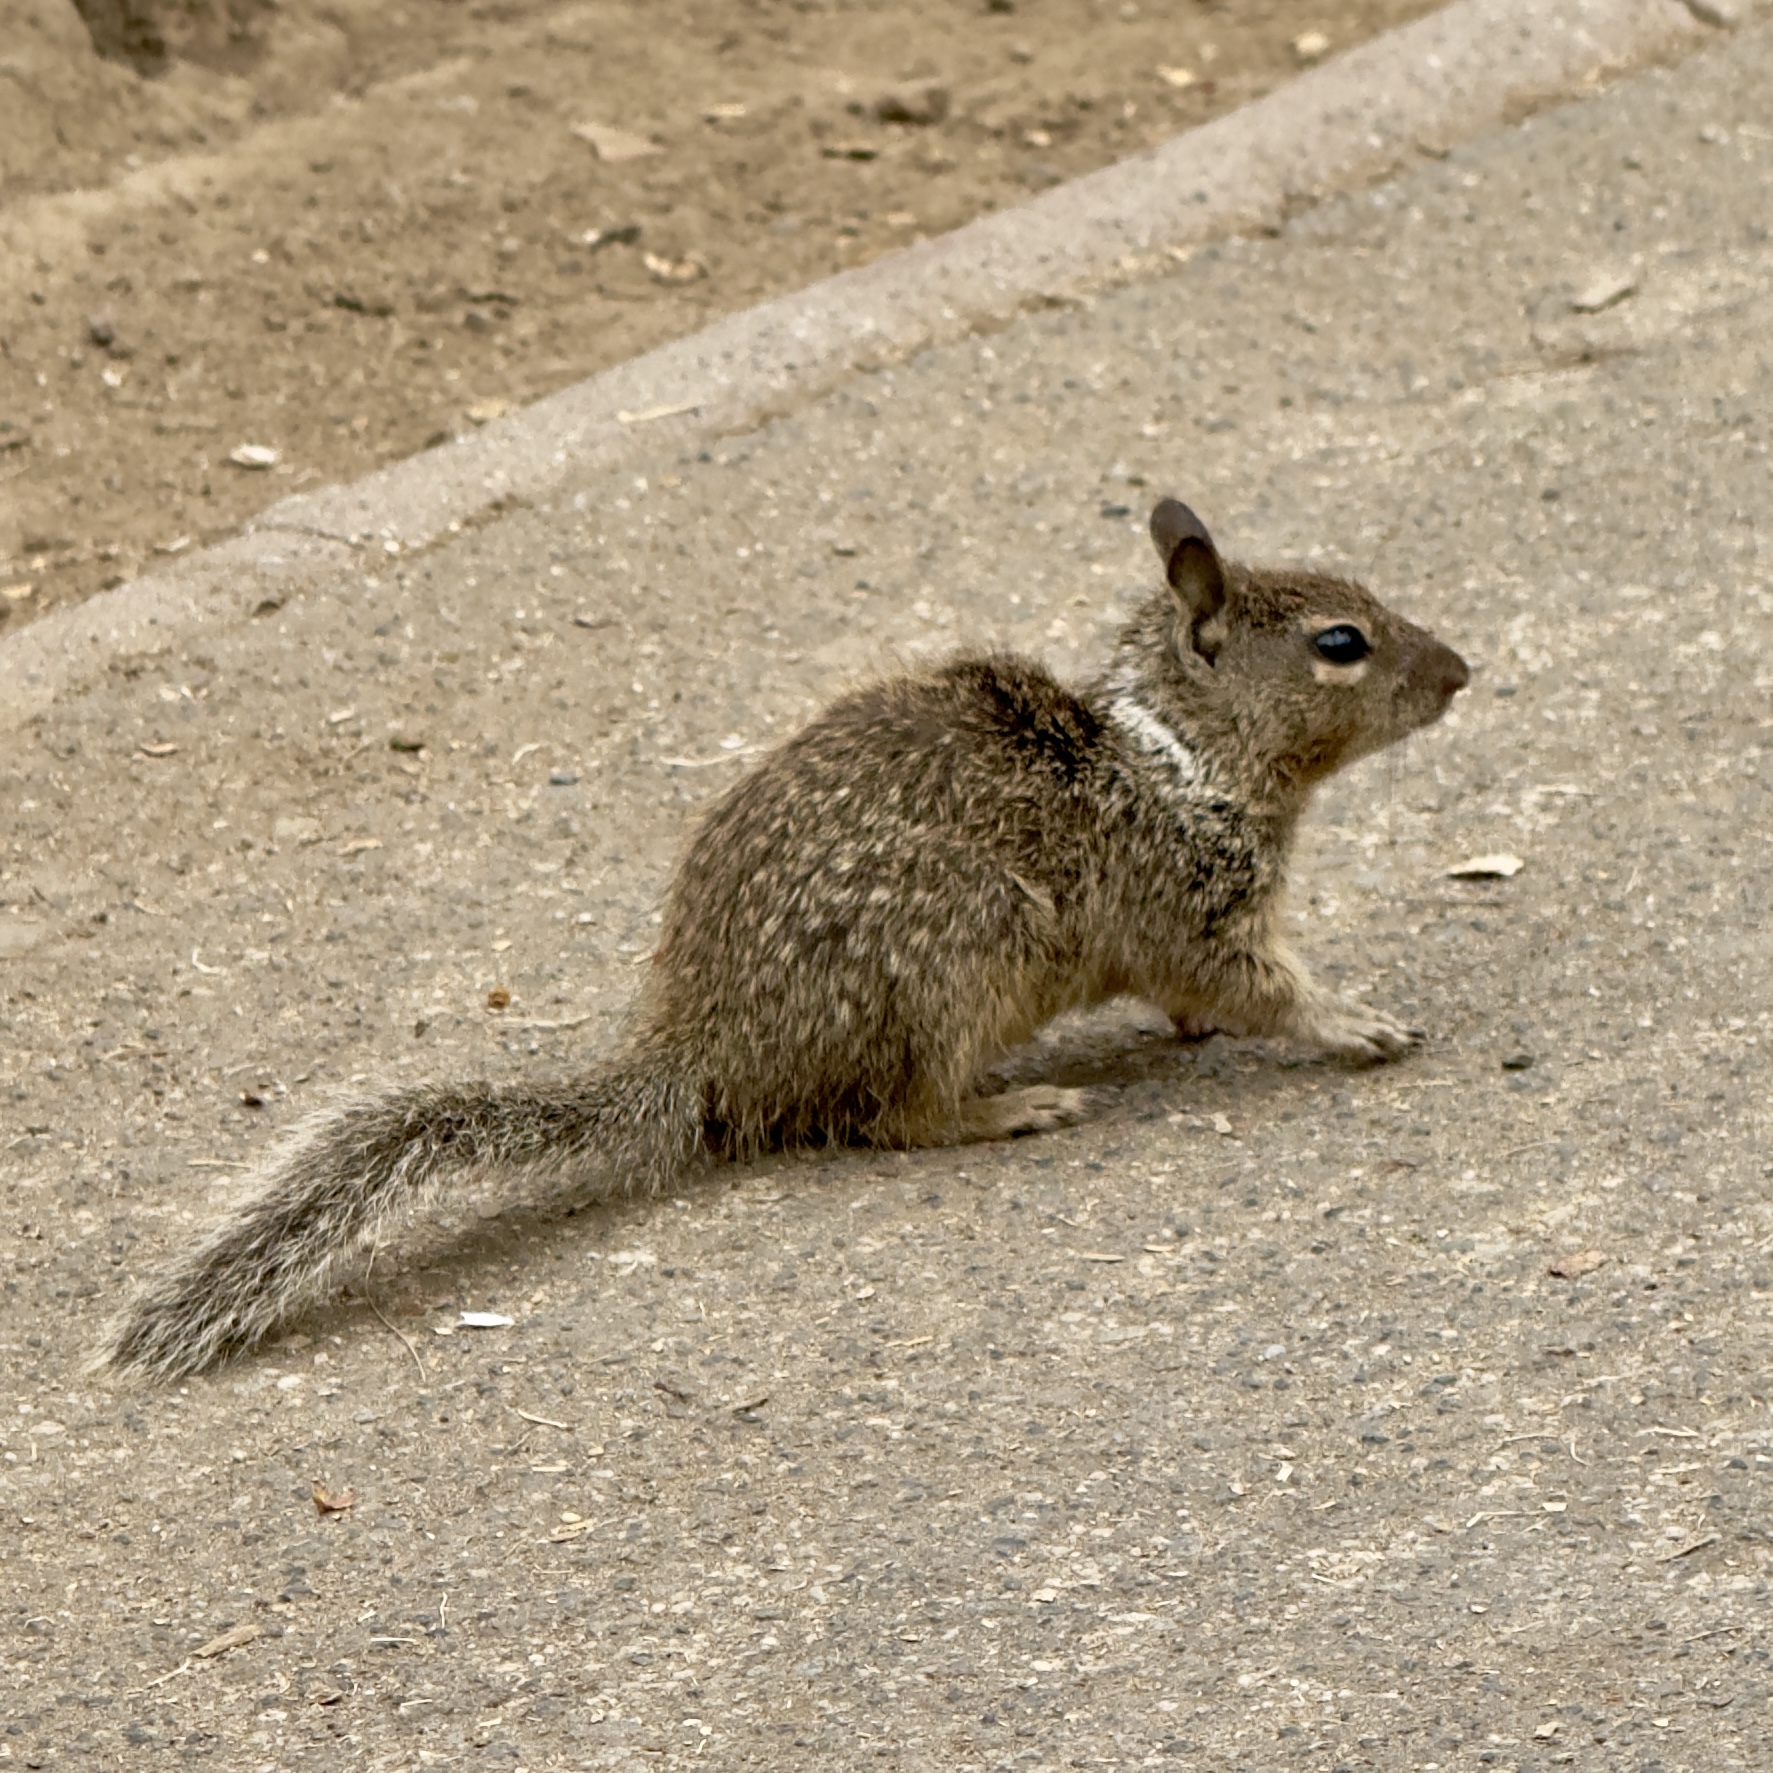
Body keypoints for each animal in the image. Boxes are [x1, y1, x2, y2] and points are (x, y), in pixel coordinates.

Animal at [103, 492, 1475, 1375]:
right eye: (1341, 643)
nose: (1461, 671)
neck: (1181, 755)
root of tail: (703, 1050)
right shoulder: (1197, 910)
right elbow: (1263, 990)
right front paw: (1359, 1024)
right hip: (952, 960)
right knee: (893, 1117)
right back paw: (1012, 1109)